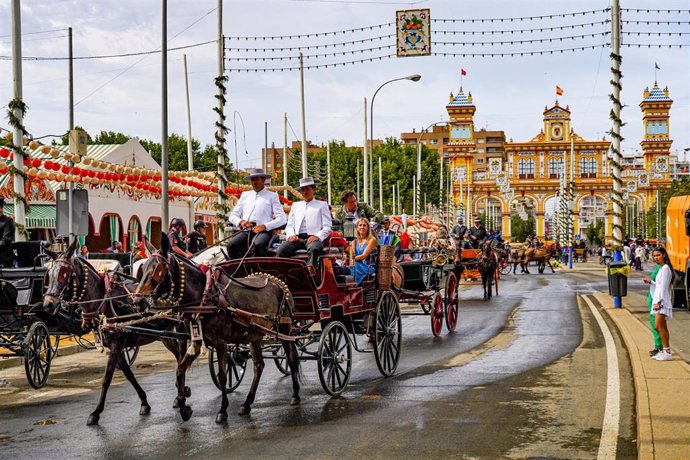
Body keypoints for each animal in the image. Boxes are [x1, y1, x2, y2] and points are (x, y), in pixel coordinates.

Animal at [42, 241, 184, 428]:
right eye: (49, 274)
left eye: (64, 273)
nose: (48, 304)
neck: (102, 301)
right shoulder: (114, 348)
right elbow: (129, 375)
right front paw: (144, 402)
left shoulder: (116, 345)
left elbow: (106, 379)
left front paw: (96, 413)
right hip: (164, 335)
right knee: (179, 355)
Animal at [134, 235, 300, 426]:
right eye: (142, 269)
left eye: (158, 270)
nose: (138, 302)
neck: (204, 296)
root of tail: (278, 282)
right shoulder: (196, 341)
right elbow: (180, 369)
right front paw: (183, 406)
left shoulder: (220, 343)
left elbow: (222, 376)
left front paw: (222, 411)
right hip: (255, 336)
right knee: (259, 366)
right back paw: (247, 403)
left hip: (285, 329)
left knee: (291, 359)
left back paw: (295, 394)